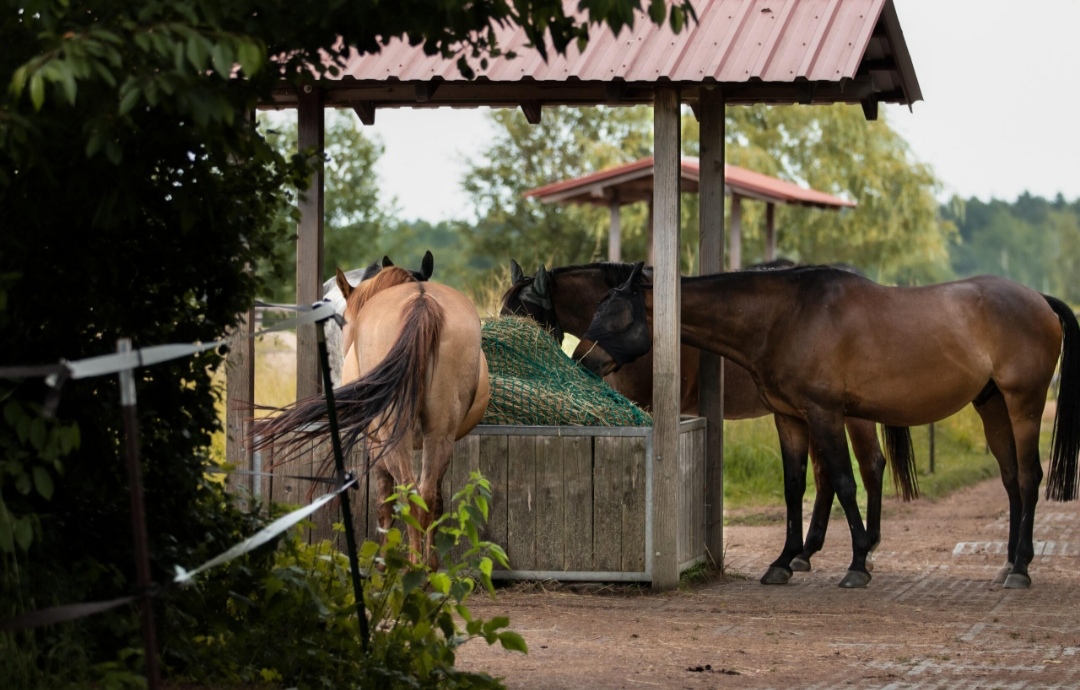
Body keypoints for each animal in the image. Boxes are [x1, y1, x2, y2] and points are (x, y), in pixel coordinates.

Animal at [256, 263, 490, 564]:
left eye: (342, 322)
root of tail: (422, 301)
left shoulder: (375, 443)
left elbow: (384, 504)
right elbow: (435, 502)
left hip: (393, 437)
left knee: (410, 495)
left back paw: (413, 569)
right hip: (439, 434)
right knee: (425, 497)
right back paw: (427, 570)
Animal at [500, 260, 916, 574]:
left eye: (522, 317)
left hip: (848, 415)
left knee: (870, 465)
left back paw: (866, 548)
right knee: (825, 473)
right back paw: (805, 553)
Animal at [581, 262, 1080, 589]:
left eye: (614, 315)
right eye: (595, 308)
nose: (584, 361)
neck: (787, 316)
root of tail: (1039, 300)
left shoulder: (824, 413)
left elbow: (841, 479)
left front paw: (857, 563)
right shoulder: (790, 418)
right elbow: (794, 485)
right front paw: (784, 561)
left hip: (1024, 405)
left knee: (1029, 477)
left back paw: (1021, 569)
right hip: (992, 407)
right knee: (1011, 479)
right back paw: (1009, 562)